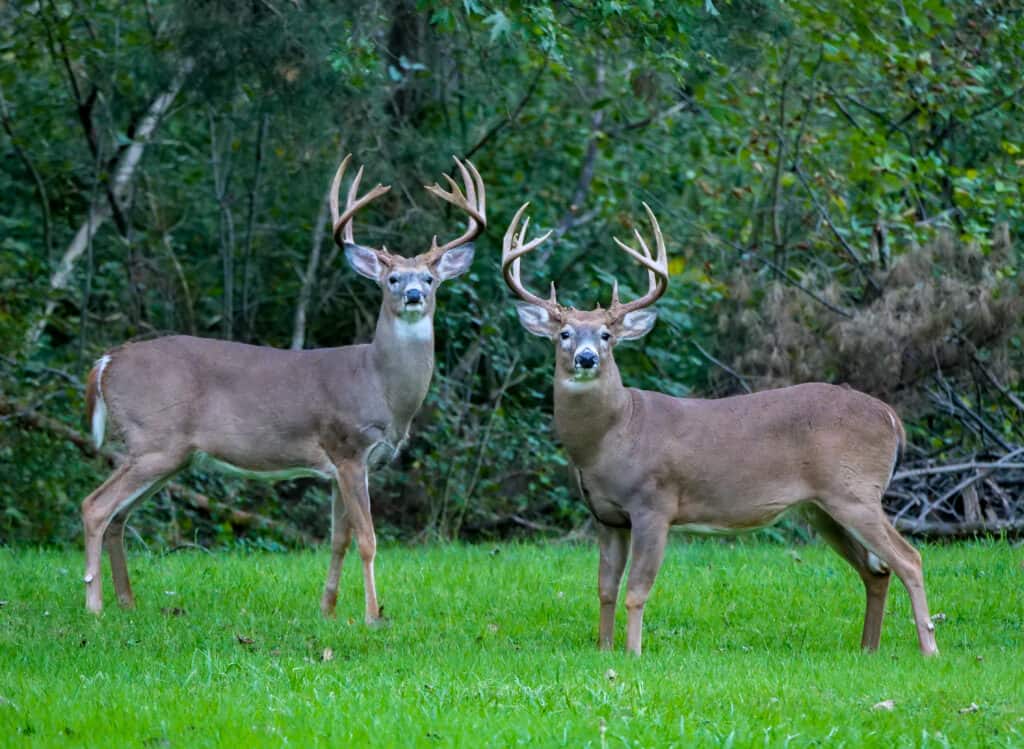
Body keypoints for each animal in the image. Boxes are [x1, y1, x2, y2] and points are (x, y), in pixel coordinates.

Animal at [81, 153, 485, 622]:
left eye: (430, 278)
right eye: (392, 280)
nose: (415, 295)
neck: (381, 385)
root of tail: (106, 361)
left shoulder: (342, 467)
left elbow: (339, 539)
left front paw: (328, 611)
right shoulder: (348, 448)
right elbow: (368, 540)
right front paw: (372, 616)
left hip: (167, 455)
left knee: (119, 516)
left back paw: (127, 603)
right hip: (154, 442)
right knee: (95, 507)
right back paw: (95, 607)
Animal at [499, 201, 937, 651]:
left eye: (606, 335)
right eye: (564, 334)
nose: (586, 358)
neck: (611, 438)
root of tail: (890, 417)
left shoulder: (655, 504)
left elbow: (637, 590)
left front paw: (633, 653)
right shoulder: (607, 517)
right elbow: (605, 588)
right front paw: (604, 649)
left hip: (856, 490)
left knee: (909, 558)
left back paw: (928, 648)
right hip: (821, 507)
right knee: (876, 570)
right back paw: (868, 649)